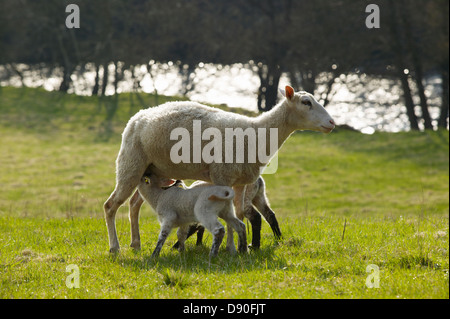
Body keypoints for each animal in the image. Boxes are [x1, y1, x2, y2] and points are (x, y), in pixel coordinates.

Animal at [103, 86, 332, 254]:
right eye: (306, 102)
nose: (332, 122)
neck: (257, 134)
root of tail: (138, 116)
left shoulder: (240, 182)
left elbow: (239, 213)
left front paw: (240, 246)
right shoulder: (222, 176)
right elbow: (229, 214)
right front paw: (231, 247)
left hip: (154, 172)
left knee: (134, 204)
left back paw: (136, 244)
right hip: (130, 164)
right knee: (110, 205)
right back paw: (115, 248)